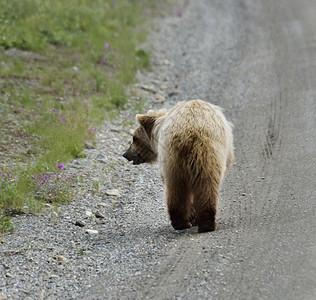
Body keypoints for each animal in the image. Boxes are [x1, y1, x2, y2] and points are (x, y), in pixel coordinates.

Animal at [122, 99, 233, 233]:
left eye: (134, 138)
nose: (125, 154)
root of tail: (191, 131)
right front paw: (194, 217)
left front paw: (192, 217)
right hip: (207, 156)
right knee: (206, 186)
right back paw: (205, 224)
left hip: (176, 159)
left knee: (176, 189)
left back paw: (182, 223)